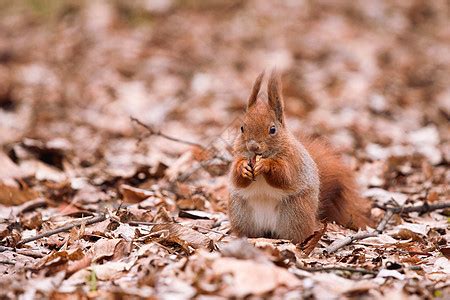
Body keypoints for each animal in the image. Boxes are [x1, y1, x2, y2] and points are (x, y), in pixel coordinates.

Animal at [229, 71, 372, 244]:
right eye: (242, 128)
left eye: (272, 129)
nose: (253, 147)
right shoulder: (237, 157)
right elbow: (236, 179)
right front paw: (242, 167)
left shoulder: (293, 161)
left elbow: (285, 177)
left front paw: (266, 165)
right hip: (241, 213)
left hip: (295, 213)